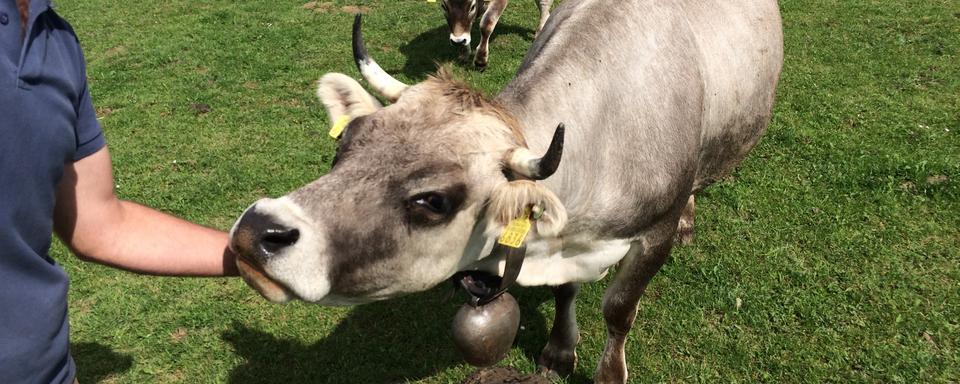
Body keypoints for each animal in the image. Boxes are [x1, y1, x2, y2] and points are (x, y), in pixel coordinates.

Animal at [229, 1, 784, 382]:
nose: (257, 230)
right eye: (344, 144)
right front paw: (559, 350)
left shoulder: (653, 234)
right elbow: (565, 292)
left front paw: (609, 372)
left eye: (433, 202)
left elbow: (619, 309)